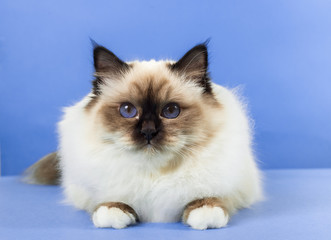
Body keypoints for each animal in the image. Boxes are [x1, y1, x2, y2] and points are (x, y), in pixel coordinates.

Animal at [23, 42, 264, 230]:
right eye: (128, 110)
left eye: (171, 111)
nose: (148, 131)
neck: (155, 173)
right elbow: (112, 199)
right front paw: (113, 212)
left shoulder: (229, 187)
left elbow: (207, 198)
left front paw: (206, 213)